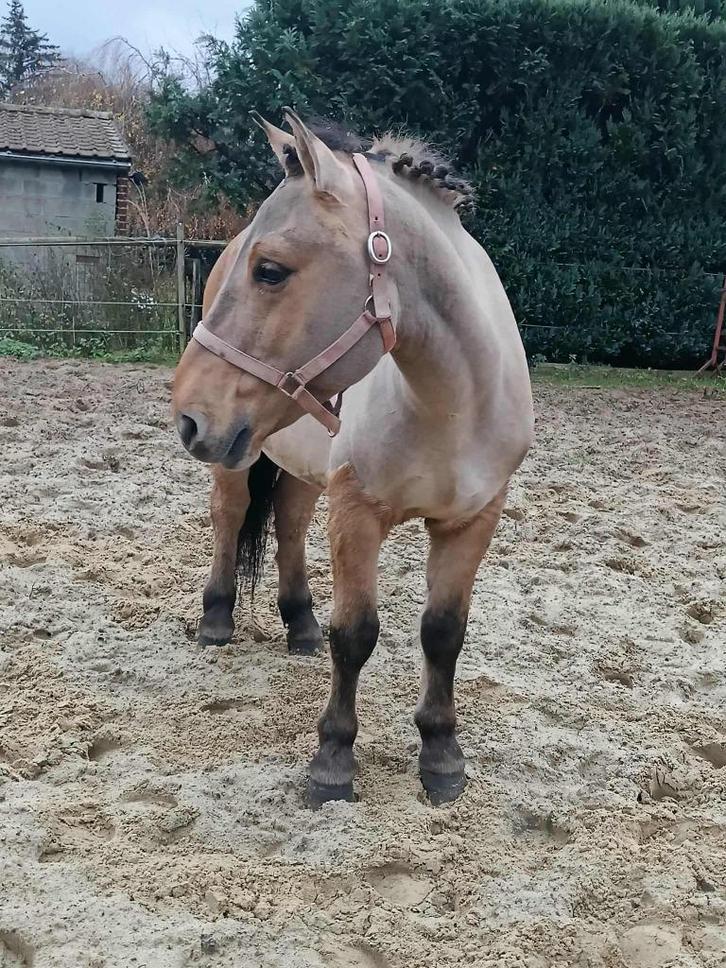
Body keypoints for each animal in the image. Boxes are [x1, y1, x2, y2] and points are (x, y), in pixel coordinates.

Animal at [171, 110, 534, 807]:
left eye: (271, 270)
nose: (187, 414)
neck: (449, 403)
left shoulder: (471, 521)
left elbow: (443, 633)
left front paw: (441, 755)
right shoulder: (358, 512)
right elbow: (357, 633)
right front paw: (333, 759)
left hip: (303, 465)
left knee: (288, 525)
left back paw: (299, 626)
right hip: (238, 457)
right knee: (230, 517)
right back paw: (217, 618)